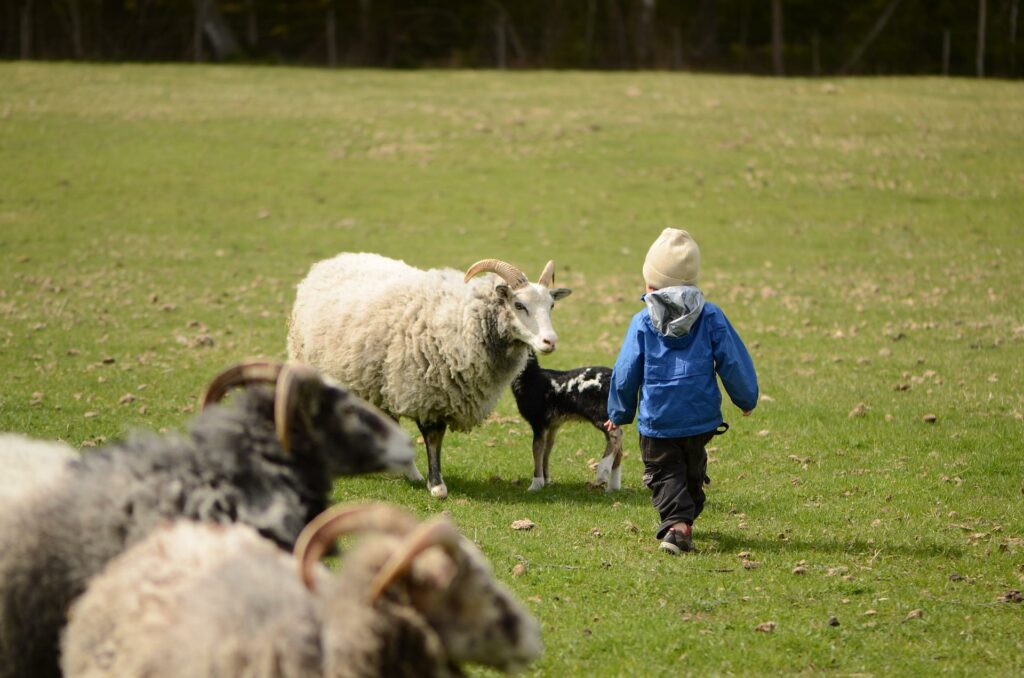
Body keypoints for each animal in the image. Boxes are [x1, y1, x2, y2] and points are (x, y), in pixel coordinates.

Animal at [288, 255, 573, 499]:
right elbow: (433, 438)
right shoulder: (427, 392)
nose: (550, 341)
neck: (463, 319)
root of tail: (329, 262)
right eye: (519, 305)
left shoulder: (442, 393)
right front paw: (437, 485)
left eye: (551, 305)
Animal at [512, 350, 622, 493]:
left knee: (616, 435)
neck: (530, 377)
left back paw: (602, 472)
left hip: (600, 413)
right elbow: (547, 450)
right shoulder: (553, 425)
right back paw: (613, 486)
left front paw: (535, 484)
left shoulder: (538, 421)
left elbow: (536, 449)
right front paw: (547, 480)